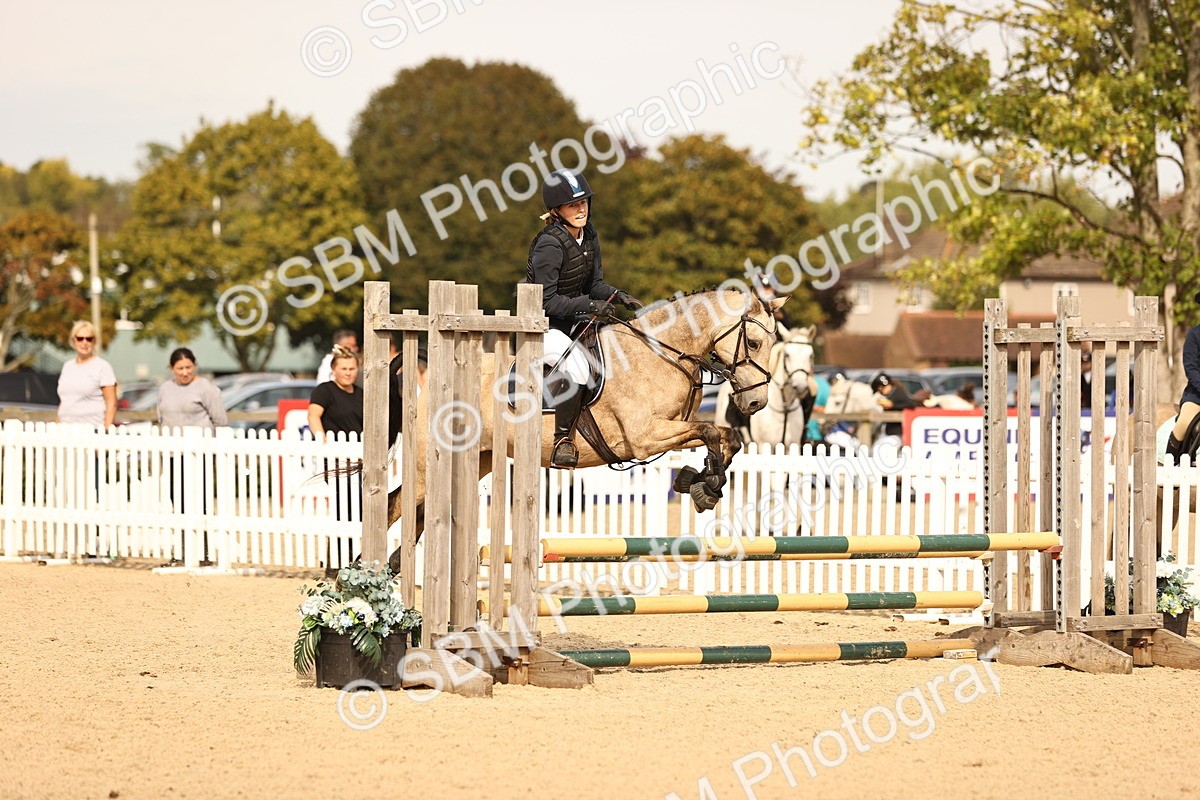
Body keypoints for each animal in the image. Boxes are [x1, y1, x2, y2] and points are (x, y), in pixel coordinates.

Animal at [381, 287, 787, 568]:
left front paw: (700, 482)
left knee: (419, 515)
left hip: (475, 458)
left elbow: (726, 438)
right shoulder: (644, 437)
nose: (755, 403)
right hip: (426, 466)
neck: (660, 353)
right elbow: (711, 432)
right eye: (753, 343)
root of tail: (427, 385)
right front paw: (707, 484)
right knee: (395, 505)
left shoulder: (671, 431)